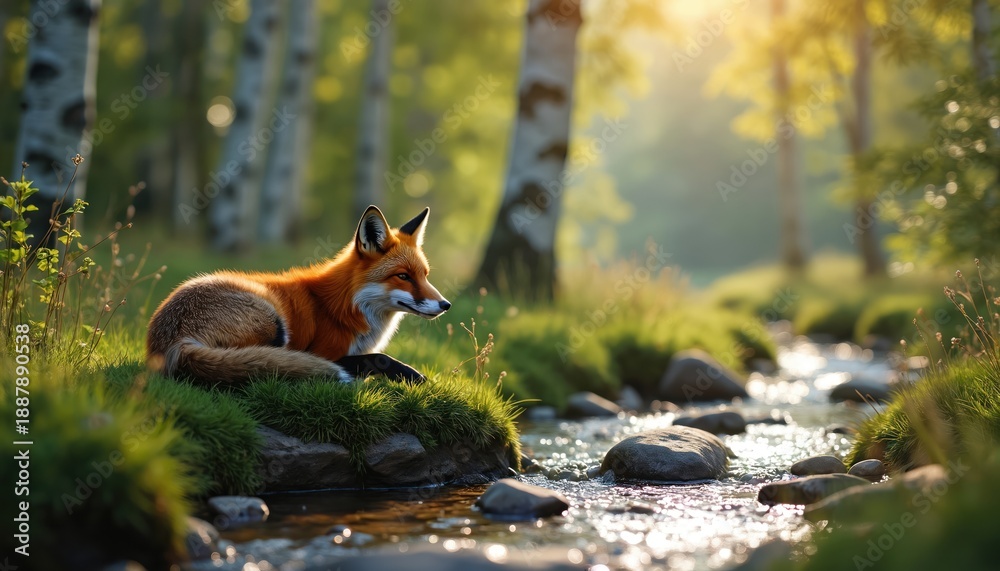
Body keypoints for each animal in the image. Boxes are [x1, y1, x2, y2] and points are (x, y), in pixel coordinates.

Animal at [146, 206, 450, 386]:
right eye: (403, 276)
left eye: (425, 275)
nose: (445, 304)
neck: (347, 305)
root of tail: (172, 343)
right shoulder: (323, 350)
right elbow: (376, 357)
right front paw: (410, 375)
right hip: (273, 322)